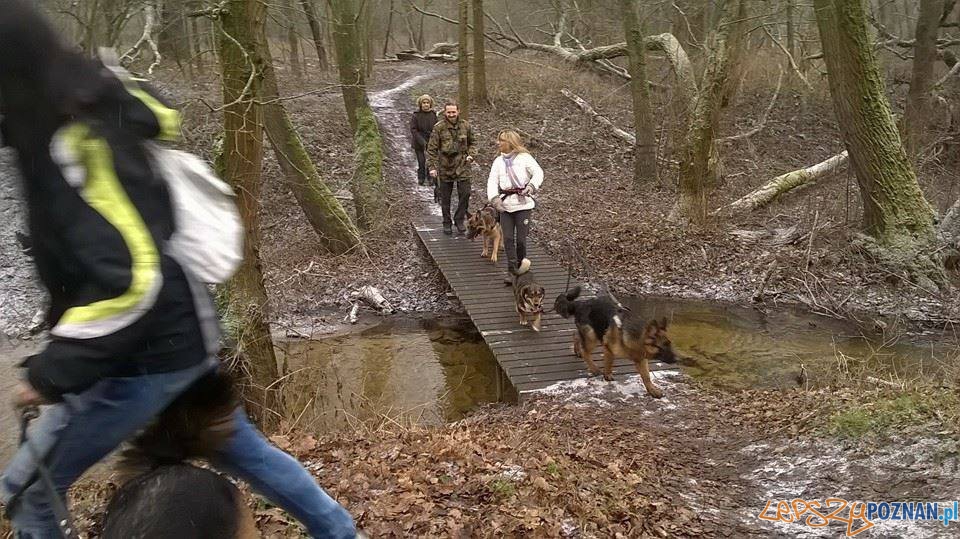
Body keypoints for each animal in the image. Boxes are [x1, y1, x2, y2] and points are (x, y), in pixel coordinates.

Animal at [552, 288, 680, 398]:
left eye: (669, 344)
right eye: (662, 347)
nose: (677, 360)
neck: (636, 337)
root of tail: (580, 303)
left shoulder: (641, 359)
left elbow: (646, 377)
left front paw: (652, 390)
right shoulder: (608, 348)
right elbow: (609, 363)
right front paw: (607, 375)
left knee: (575, 335)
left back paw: (577, 350)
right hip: (592, 336)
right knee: (585, 351)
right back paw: (593, 368)